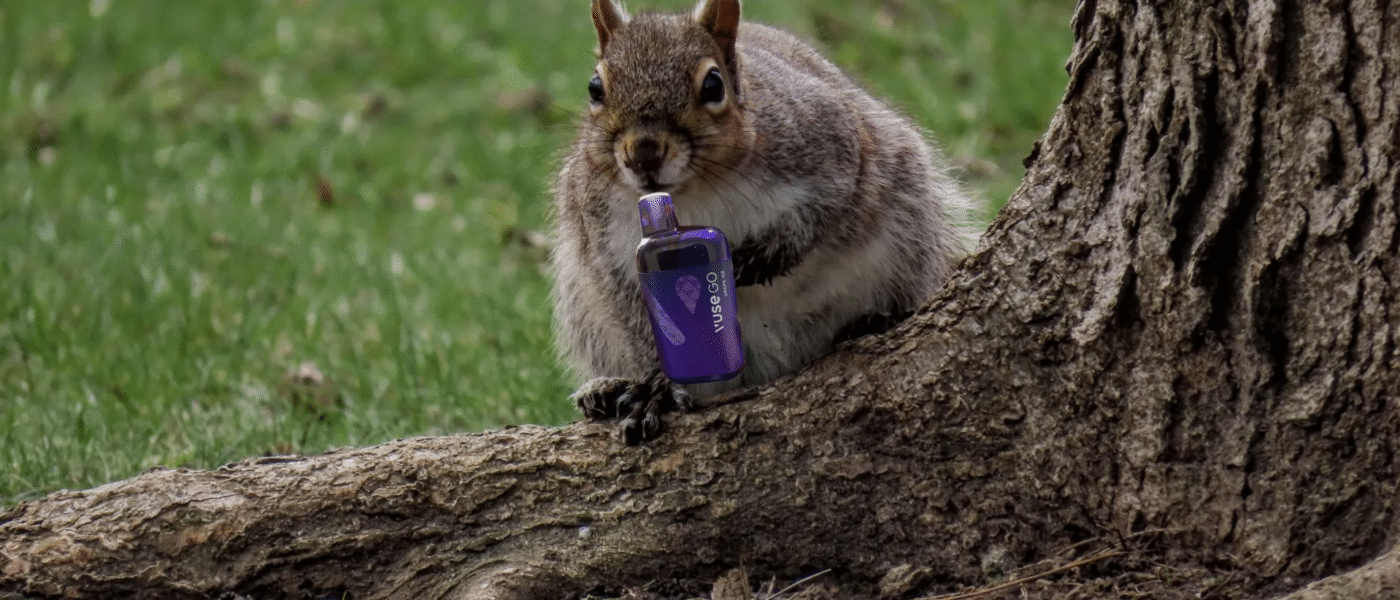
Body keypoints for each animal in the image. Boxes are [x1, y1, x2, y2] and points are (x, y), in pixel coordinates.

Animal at [550, 0, 980, 444]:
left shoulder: (833, 150)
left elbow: (818, 218)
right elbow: (639, 318)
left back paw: (878, 319)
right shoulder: (606, 240)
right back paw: (604, 390)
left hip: (910, 223)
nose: (644, 153)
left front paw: (752, 263)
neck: (692, 191)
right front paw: (657, 388)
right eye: (595, 89)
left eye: (713, 86)